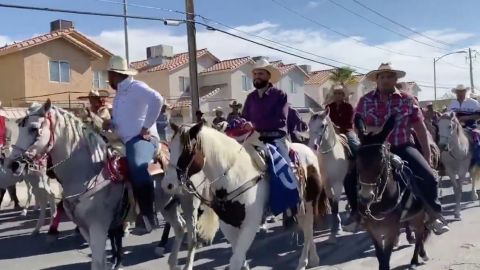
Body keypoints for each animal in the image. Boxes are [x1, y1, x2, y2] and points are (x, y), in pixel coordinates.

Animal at [7, 100, 184, 270]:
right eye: (20, 127)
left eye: (34, 129)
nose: (12, 164)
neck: (89, 173)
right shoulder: (86, 229)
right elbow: (100, 261)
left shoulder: (98, 227)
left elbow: (98, 262)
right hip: (167, 206)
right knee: (180, 226)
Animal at [163, 122, 332, 270]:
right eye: (170, 149)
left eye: (187, 149)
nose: (167, 185)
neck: (233, 177)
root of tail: (309, 150)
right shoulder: (228, 225)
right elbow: (240, 256)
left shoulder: (250, 224)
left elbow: (236, 260)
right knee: (305, 228)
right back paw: (312, 258)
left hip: (308, 203)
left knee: (308, 229)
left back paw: (305, 262)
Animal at [308, 107, 348, 243]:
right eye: (309, 125)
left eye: (322, 125)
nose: (313, 146)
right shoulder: (326, 184)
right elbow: (331, 203)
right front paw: (334, 228)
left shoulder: (338, 184)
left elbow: (335, 205)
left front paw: (337, 229)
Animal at [352, 117, 432, 270]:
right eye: (357, 159)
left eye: (381, 160)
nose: (366, 197)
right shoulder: (372, 230)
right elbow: (380, 256)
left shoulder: (391, 230)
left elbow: (386, 258)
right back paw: (421, 252)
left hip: (419, 215)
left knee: (420, 233)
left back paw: (416, 259)